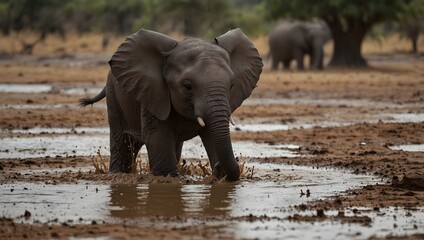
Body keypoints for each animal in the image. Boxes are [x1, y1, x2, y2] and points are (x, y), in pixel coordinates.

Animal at [79, 28, 262, 181]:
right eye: (187, 86)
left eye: (231, 85)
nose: (218, 167)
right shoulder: (154, 92)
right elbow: (157, 136)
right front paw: (168, 178)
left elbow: (211, 135)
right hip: (114, 96)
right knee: (122, 142)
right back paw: (118, 174)